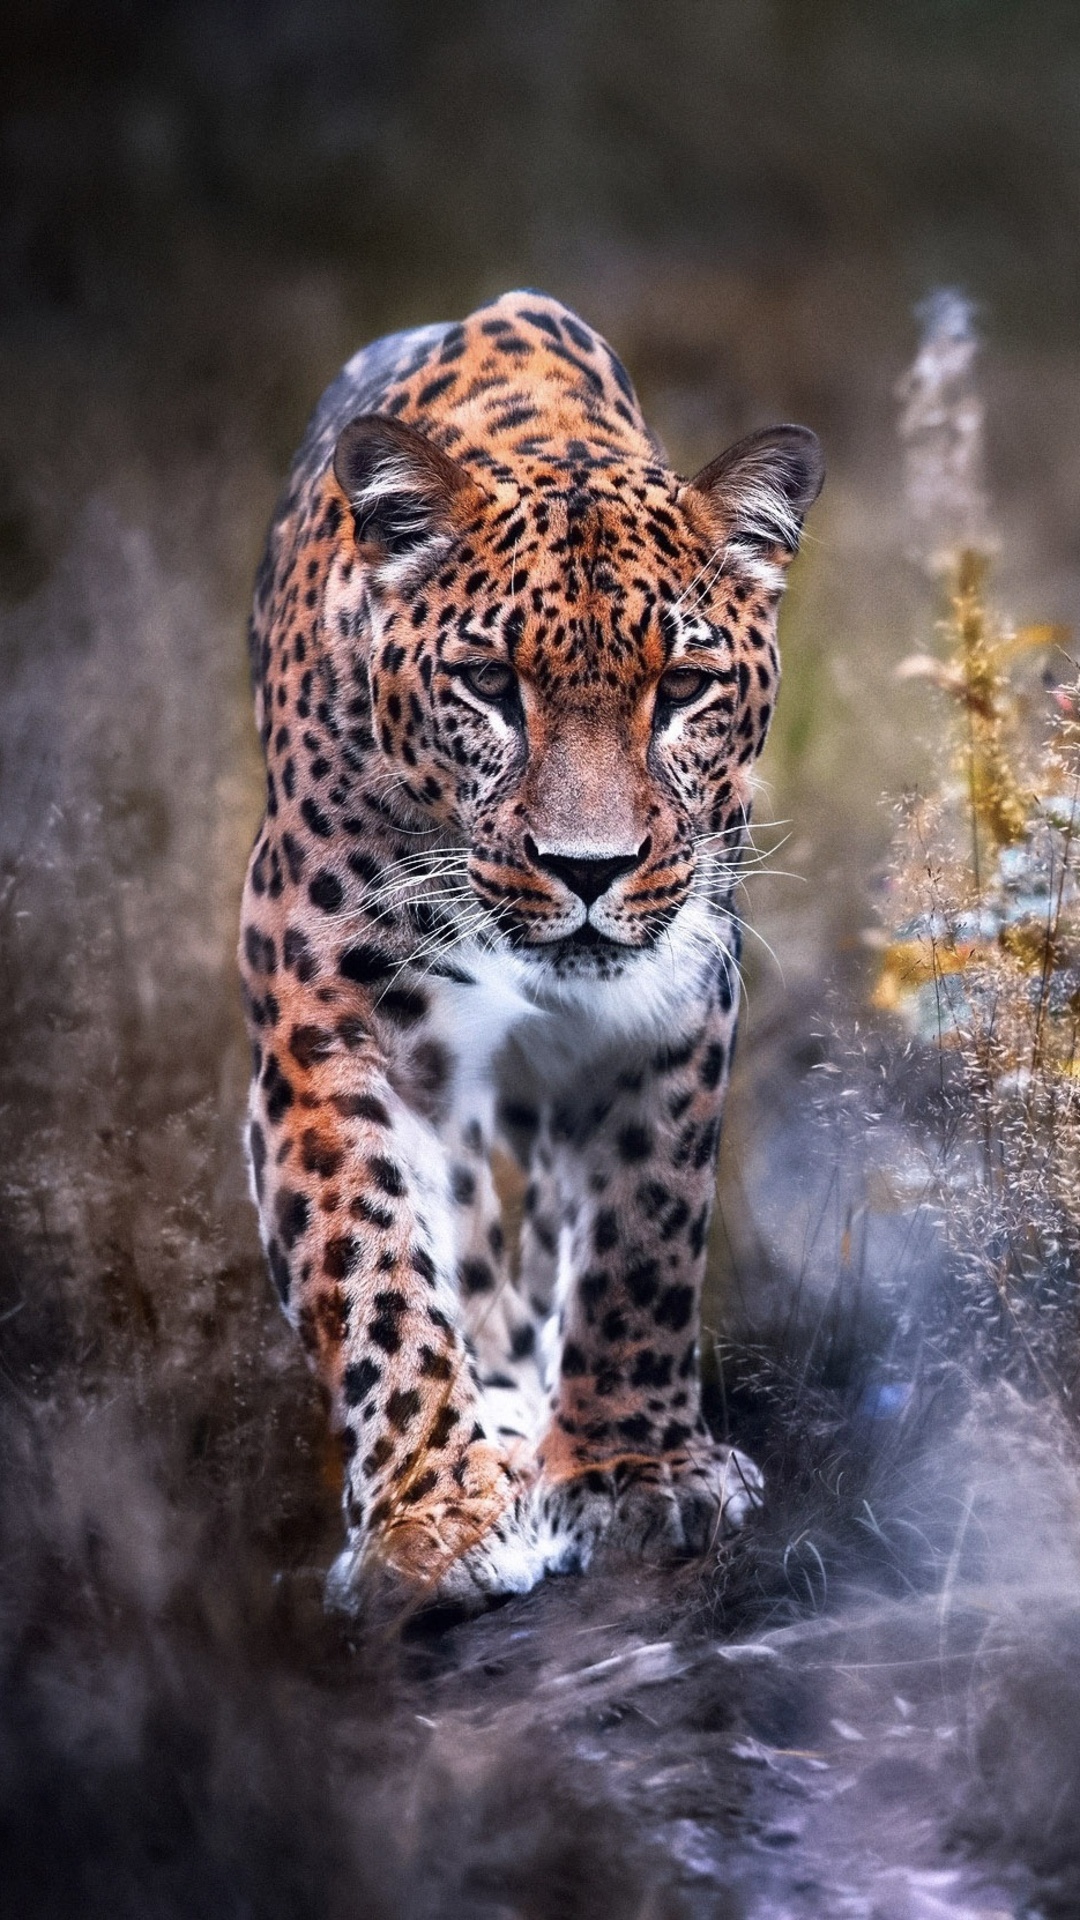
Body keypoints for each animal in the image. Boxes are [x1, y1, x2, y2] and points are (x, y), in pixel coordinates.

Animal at [239, 289, 823, 1611]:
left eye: (685, 687)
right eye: (490, 683)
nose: (589, 869)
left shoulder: (672, 1003)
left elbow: (642, 1233)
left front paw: (630, 1469)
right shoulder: (325, 1024)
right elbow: (373, 1267)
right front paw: (433, 1518)